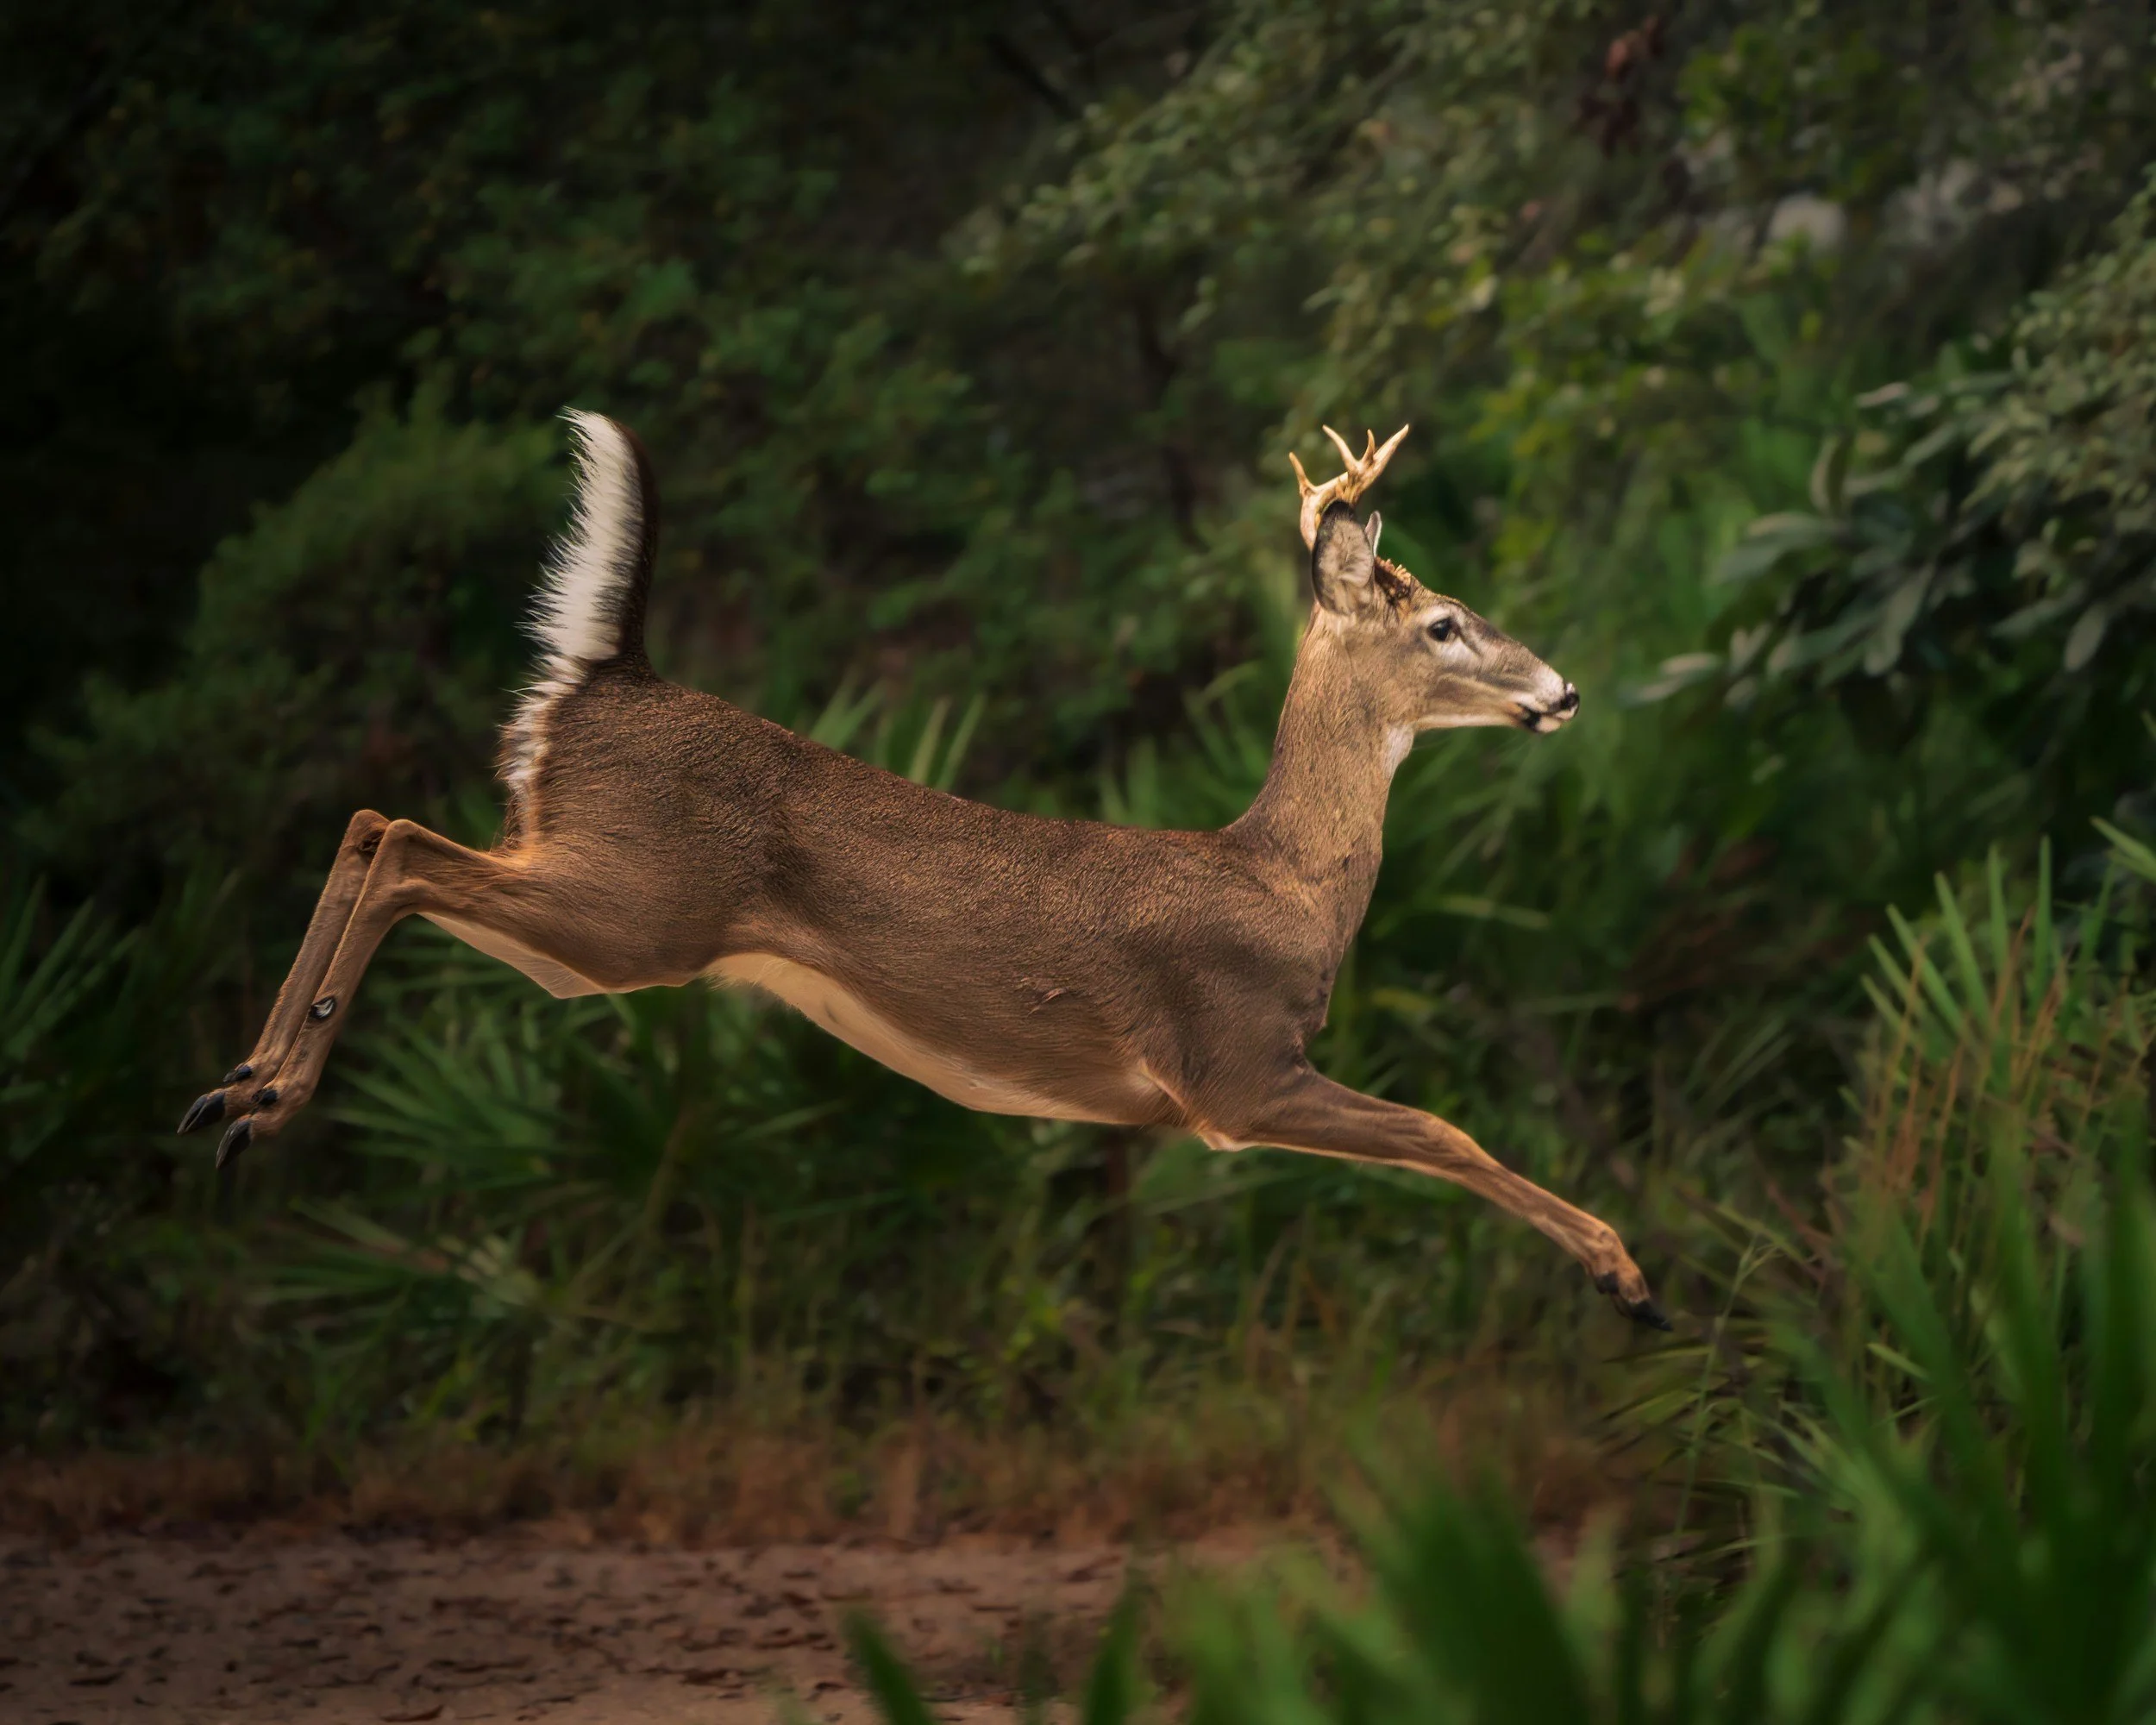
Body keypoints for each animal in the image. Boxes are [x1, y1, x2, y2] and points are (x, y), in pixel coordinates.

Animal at [176, 413, 1670, 1330]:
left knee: (372, 825)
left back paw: (232, 1094)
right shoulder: (1232, 1071)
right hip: (629, 909)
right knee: (400, 841)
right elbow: (1445, 1132)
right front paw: (1629, 1277)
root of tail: (606, 677)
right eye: (1446, 622)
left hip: (592, 905)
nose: (1565, 691)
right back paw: (261, 1099)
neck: (1286, 881)